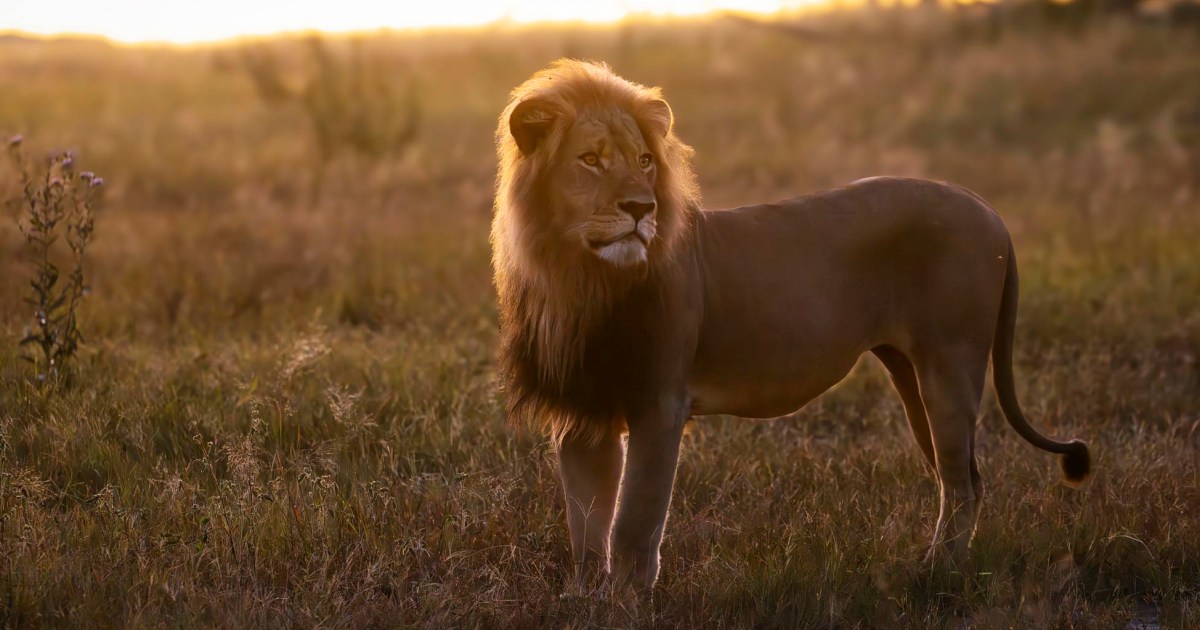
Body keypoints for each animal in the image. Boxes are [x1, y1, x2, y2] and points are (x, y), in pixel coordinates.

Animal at [492, 59, 1091, 590]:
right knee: (963, 477)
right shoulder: (582, 414)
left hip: (951, 365)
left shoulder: (659, 403)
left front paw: (627, 604)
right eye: (590, 159)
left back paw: (935, 576)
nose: (642, 209)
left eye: (643, 160)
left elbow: (633, 526)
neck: (579, 278)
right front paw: (586, 601)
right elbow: (586, 530)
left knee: (963, 484)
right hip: (913, 374)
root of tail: (987, 208)